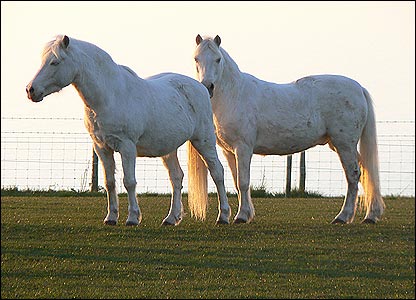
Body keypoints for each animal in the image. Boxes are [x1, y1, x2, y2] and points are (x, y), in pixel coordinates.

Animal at [27, 34, 232, 225]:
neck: (110, 96)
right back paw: (171, 218)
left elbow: (129, 182)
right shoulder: (101, 148)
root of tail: (202, 88)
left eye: (55, 62)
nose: (30, 90)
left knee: (217, 172)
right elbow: (110, 183)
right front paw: (111, 217)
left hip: (203, 141)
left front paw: (133, 218)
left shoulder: (126, 147)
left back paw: (223, 216)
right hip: (169, 149)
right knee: (176, 177)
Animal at [193, 34, 386, 224]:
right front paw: (243, 214)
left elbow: (243, 182)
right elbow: (236, 183)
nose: (207, 85)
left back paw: (343, 217)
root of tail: (359, 88)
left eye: (218, 59)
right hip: (340, 144)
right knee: (367, 171)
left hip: (344, 144)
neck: (235, 95)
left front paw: (241, 216)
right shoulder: (229, 151)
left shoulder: (243, 148)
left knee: (353, 175)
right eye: (196, 58)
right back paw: (371, 215)